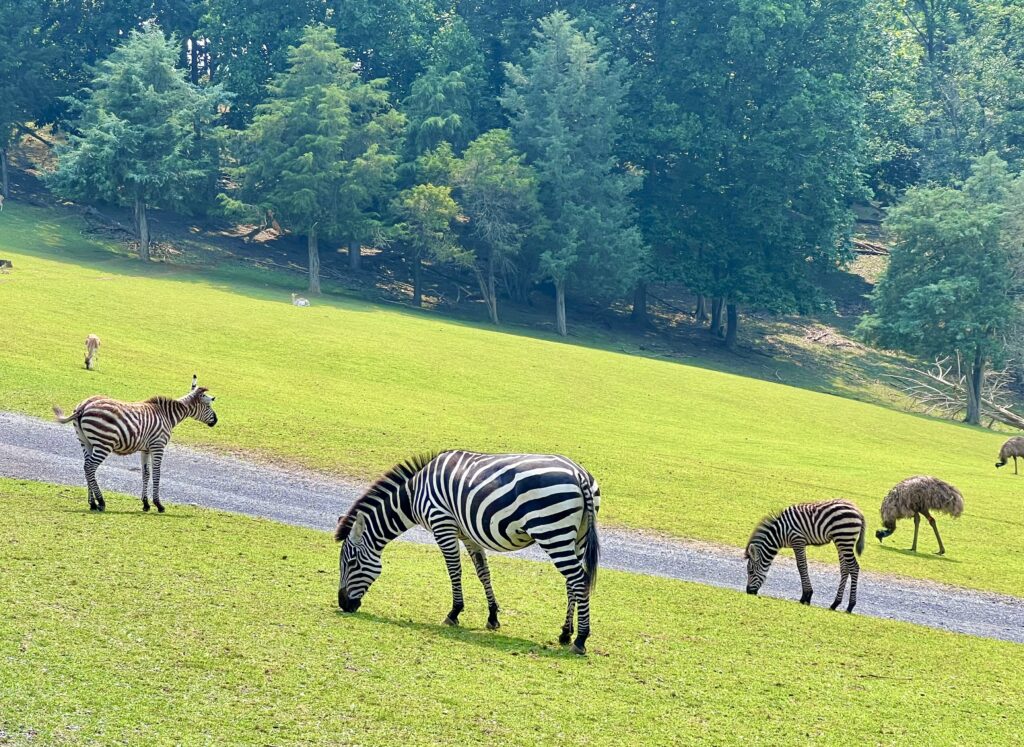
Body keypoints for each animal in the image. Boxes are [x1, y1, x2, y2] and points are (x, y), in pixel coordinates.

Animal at [52, 372, 217, 512]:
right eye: (209, 405)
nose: (216, 421)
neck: (167, 416)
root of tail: (83, 406)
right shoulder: (158, 446)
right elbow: (157, 473)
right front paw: (158, 504)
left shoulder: (146, 449)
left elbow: (146, 473)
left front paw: (146, 504)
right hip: (104, 443)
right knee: (90, 467)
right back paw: (101, 502)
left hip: (85, 441)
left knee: (86, 466)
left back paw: (92, 503)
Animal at [335, 448, 598, 651]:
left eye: (351, 563)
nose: (343, 605)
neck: (413, 494)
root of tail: (579, 473)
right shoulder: (468, 534)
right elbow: (483, 573)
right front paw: (492, 617)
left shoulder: (442, 524)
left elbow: (454, 571)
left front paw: (454, 613)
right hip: (576, 537)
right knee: (571, 582)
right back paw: (565, 633)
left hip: (552, 531)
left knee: (578, 579)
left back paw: (581, 639)